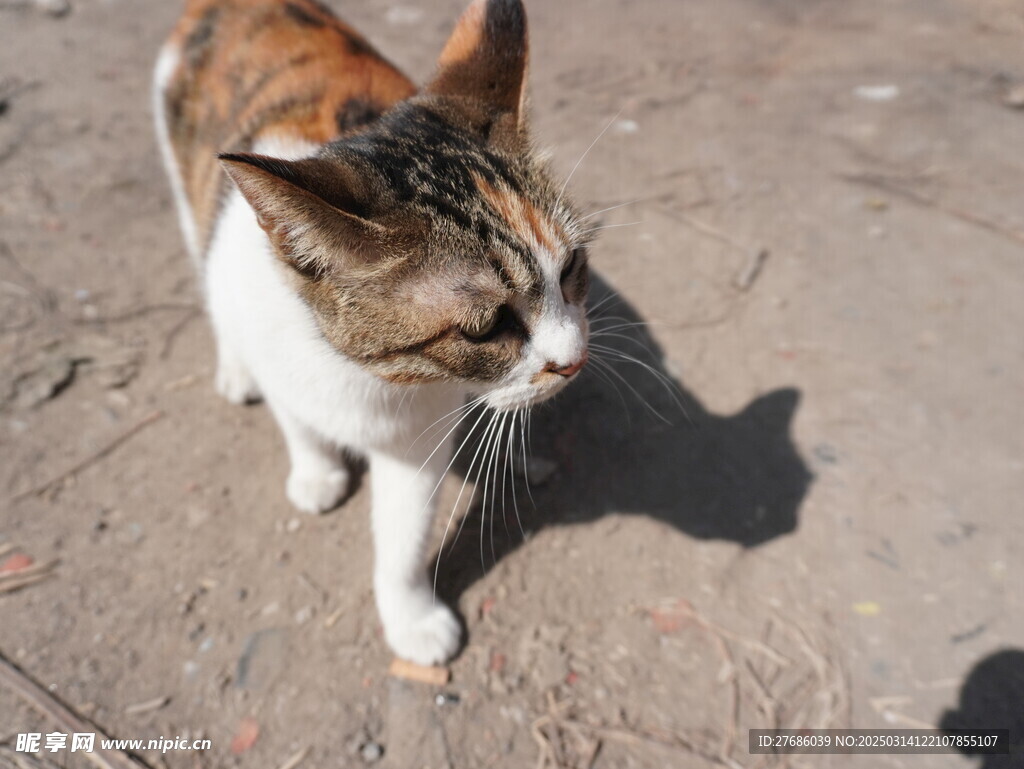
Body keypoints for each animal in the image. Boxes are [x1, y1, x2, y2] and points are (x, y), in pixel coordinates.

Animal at [151, 0, 589, 663]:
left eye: (570, 270)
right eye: (489, 327)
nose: (575, 359)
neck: (356, 372)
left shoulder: (416, 437)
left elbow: (404, 536)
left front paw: (411, 618)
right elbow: (295, 421)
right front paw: (316, 471)